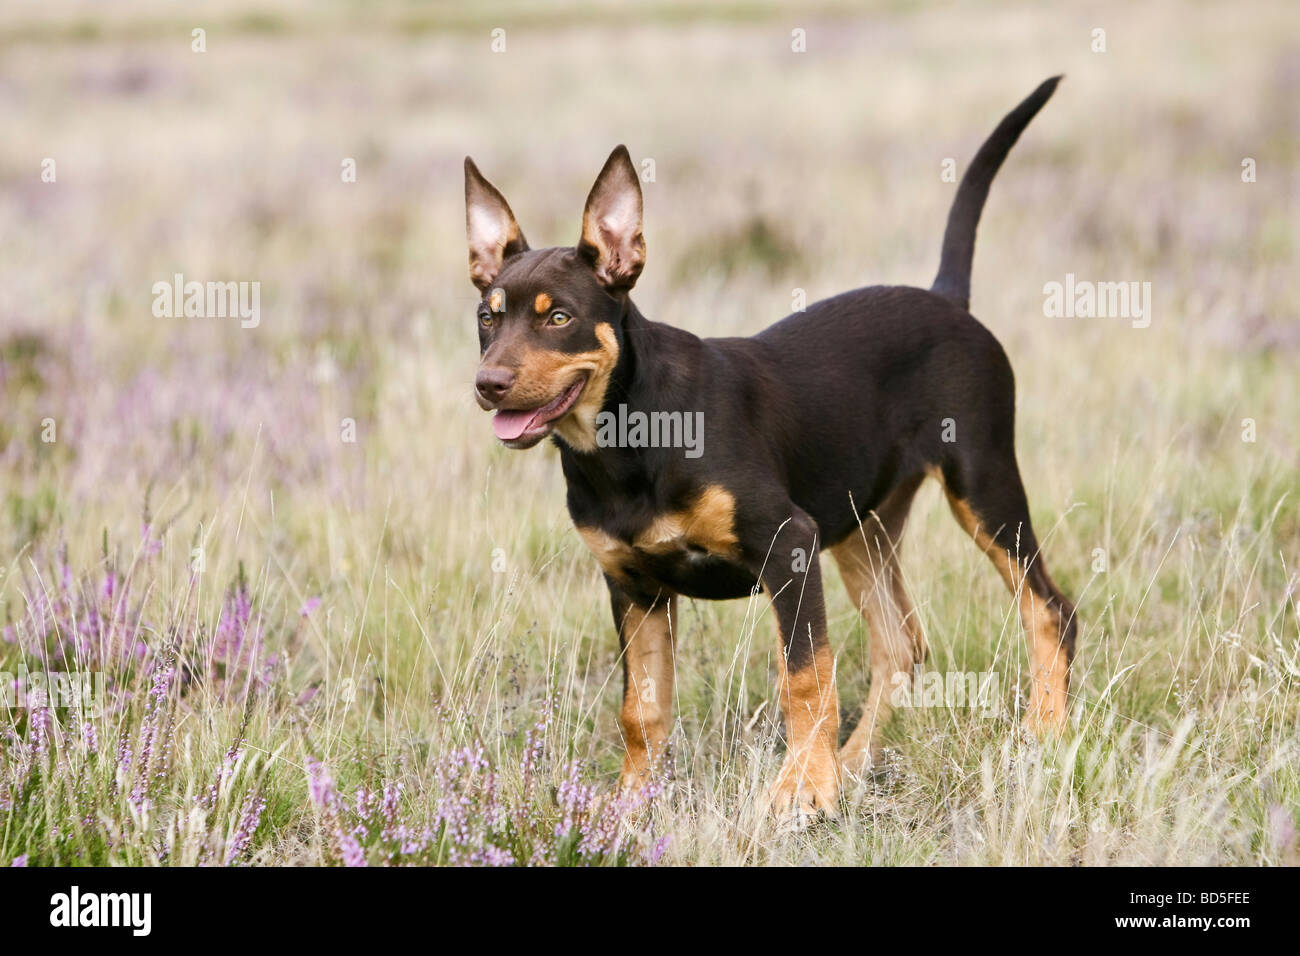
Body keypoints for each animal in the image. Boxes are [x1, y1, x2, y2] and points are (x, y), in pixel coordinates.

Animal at [465, 76, 1076, 822]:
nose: (488, 384)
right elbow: (642, 709)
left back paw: (1046, 730)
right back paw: (856, 760)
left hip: (982, 484)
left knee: (1049, 608)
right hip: (862, 528)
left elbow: (803, 675)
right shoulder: (632, 585)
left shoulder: (789, 544)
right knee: (901, 646)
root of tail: (947, 301)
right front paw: (629, 803)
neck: (626, 442)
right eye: (487, 318)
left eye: (559, 318)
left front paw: (803, 790)